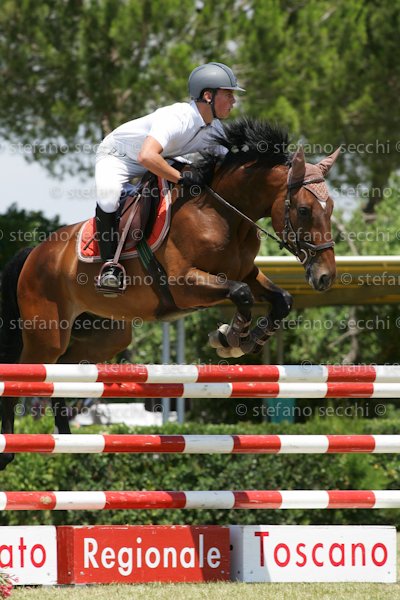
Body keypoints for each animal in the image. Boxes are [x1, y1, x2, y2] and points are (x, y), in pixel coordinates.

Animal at [0, 117, 338, 469]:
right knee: (21, 374)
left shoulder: (245, 272)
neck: (221, 213)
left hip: (105, 335)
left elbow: (280, 299)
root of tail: (34, 252)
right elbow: (242, 294)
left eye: (330, 208)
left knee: (64, 370)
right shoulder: (185, 285)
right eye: (304, 210)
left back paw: (66, 440)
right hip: (46, 335)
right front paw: (230, 338)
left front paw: (250, 338)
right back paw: (9, 449)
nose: (325, 276)